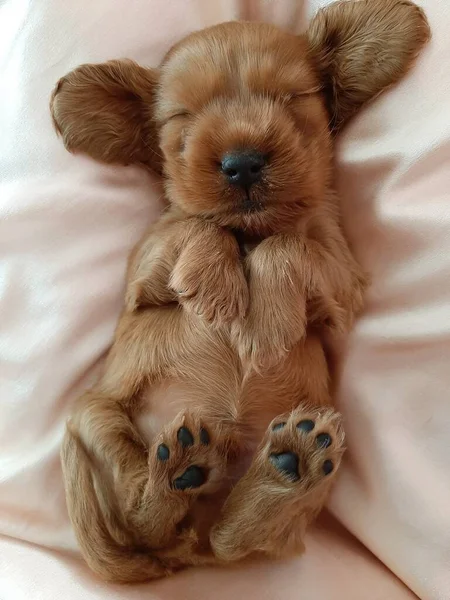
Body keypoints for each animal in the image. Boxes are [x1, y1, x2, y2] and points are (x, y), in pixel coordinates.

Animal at [51, 0, 430, 580]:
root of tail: (193, 555)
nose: (243, 162)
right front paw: (217, 290)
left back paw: (287, 467)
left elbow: (285, 245)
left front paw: (266, 323)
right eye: (181, 117)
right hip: (90, 422)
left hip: (283, 501)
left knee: (235, 540)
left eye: (291, 97)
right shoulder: (142, 268)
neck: (248, 232)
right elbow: (199, 224)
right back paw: (181, 470)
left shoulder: (343, 276)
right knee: (143, 518)